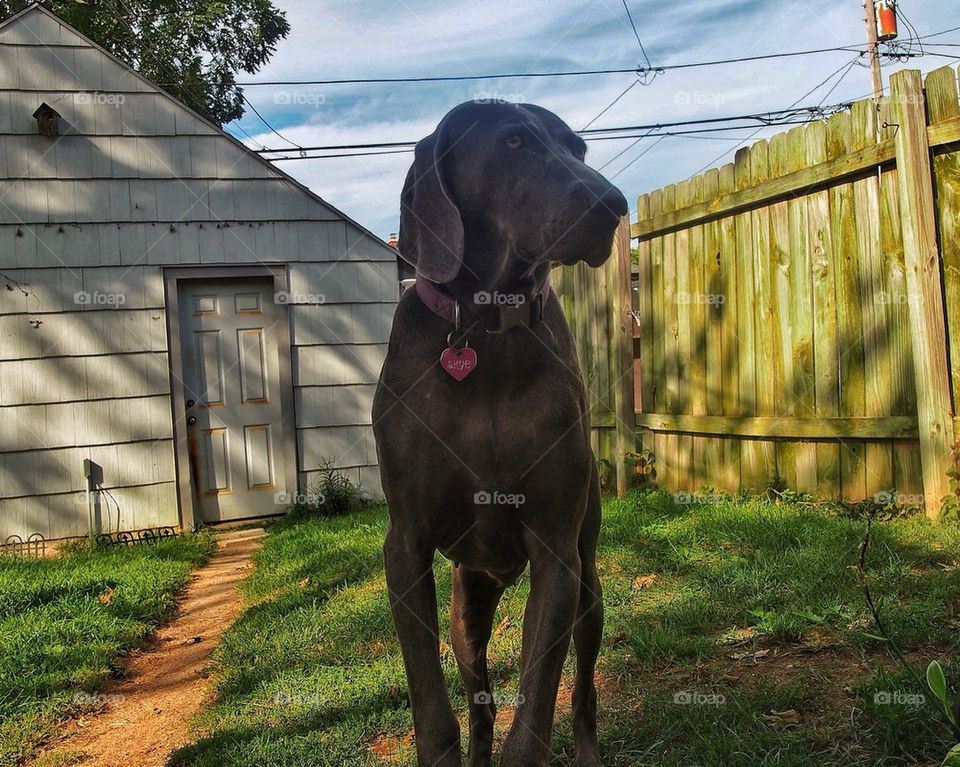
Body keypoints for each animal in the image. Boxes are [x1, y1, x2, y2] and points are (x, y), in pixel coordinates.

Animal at [374, 102, 632, 767]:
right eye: (513, 142)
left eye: (578, 148)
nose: (613, 204)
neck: (483, 333)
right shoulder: (406, 545)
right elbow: (433, 709)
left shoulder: (556, 551)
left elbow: (537, 703)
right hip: (467, 608)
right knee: (481, 705)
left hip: (589, 592)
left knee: (584, 691)